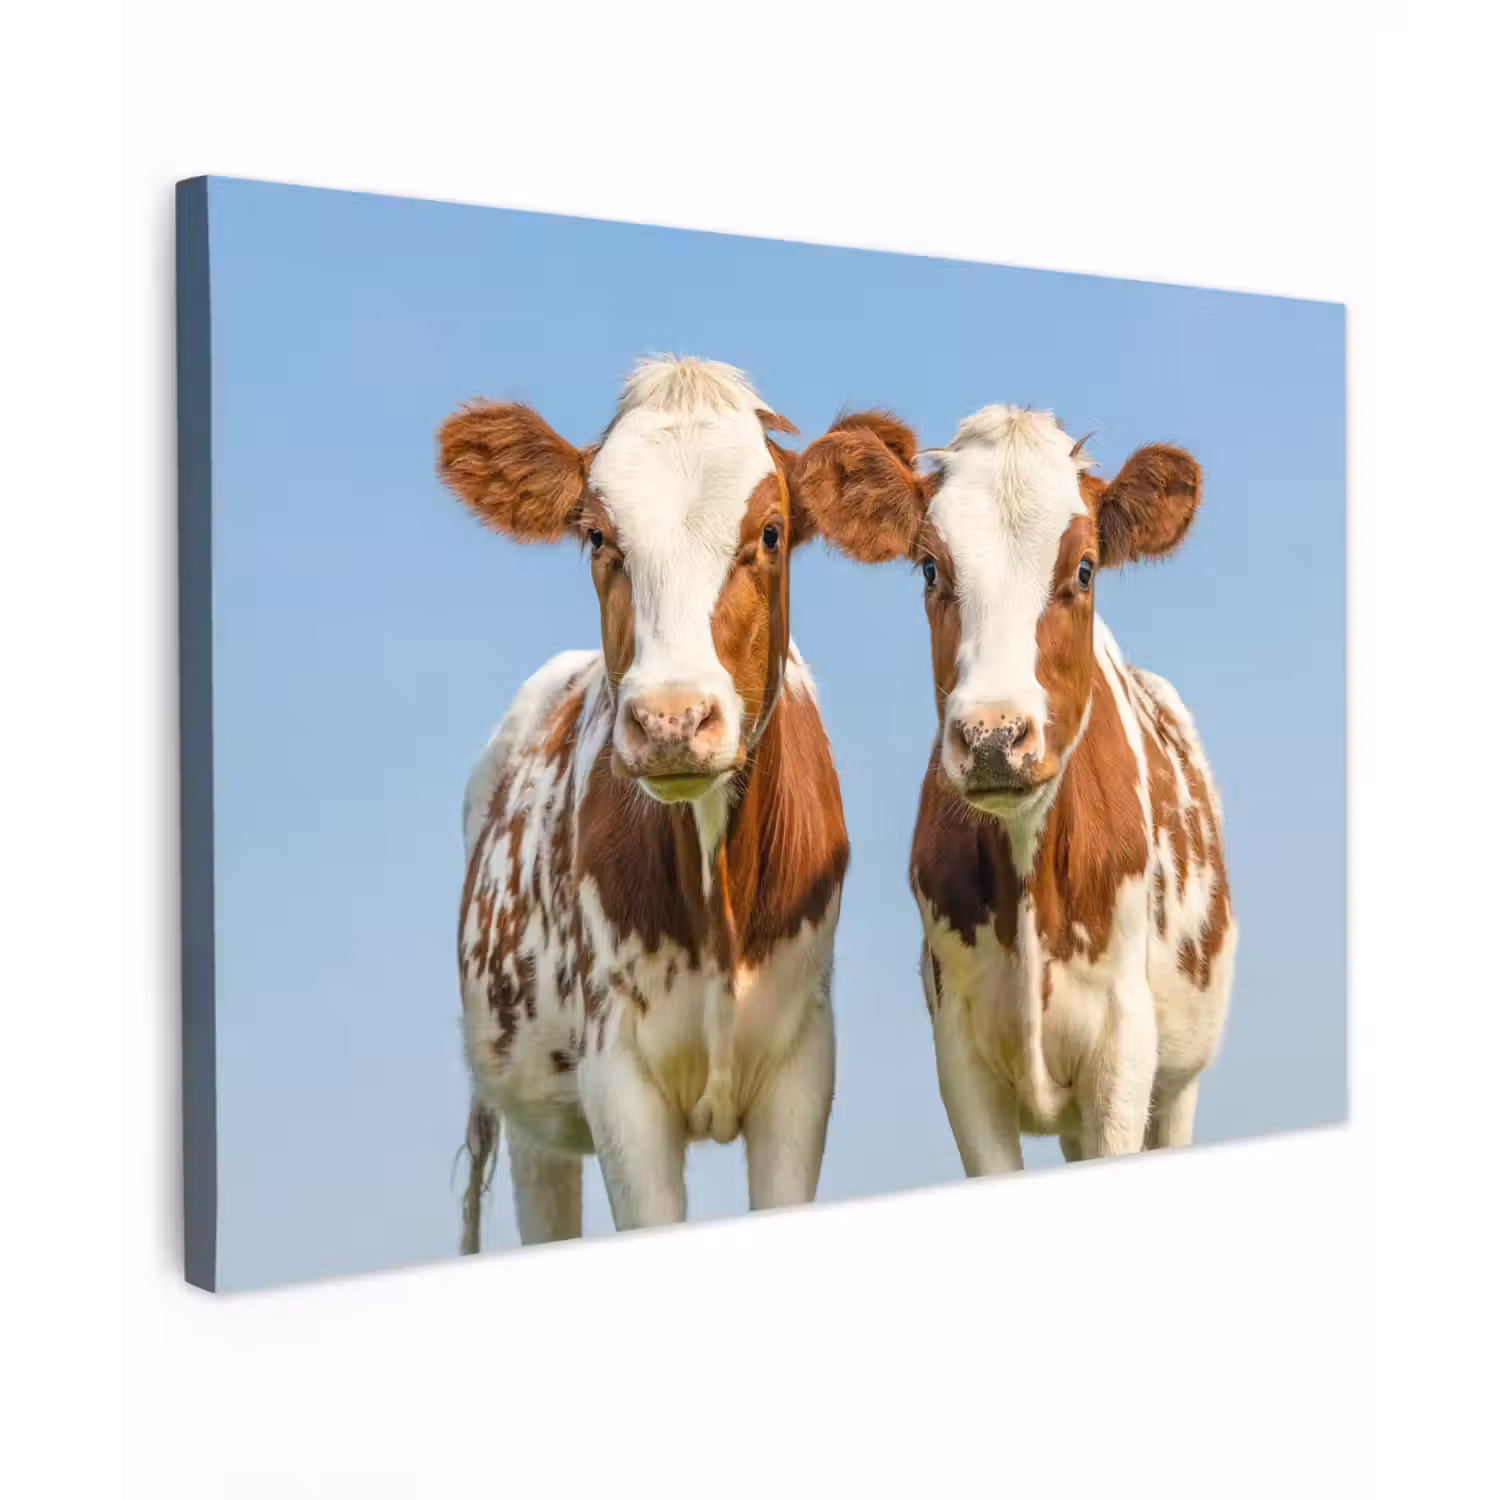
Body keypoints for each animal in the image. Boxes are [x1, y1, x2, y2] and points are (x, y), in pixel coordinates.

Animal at [438, 356, 852, 1250]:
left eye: (771, 532)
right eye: (598, 536)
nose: (671, 719)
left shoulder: (802, 1068)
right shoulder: (618, 1083)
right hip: (531, 1120)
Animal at [795, 404, 1236, 1171]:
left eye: (1084, 567)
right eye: (930, 566)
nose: (994, 736)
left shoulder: (1124, 1049)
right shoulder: (961, 1055)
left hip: (1180, 1078)